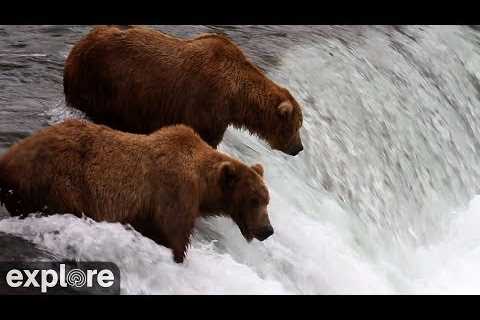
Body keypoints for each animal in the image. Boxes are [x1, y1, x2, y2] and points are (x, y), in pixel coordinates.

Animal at [0, 120, 272, 262]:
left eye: (266, 200)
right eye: (254, 200)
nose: (267, 230)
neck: (202, 186)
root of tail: (8, 157)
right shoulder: (174, 195)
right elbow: (175, 238)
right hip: (60, 182)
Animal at [62, 25, 304, 156]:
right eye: (296, 126)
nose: (299, 148)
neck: (236, 98)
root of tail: (77, 47)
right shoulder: (207, 105)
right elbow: (205, 138)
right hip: (102, 84)